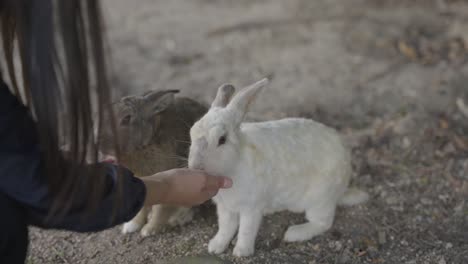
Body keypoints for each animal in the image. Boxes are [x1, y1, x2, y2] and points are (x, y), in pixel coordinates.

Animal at [98, 89, 207, 237]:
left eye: (126, 118)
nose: (97, 143)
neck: (148, 143)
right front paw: (131, 226)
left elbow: (160, 209)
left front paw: (149, 230)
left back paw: (178, 218)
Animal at [188, 78, 368, 256]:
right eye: (192, 131)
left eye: (222, 139)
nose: (196, 166)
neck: (234, 164)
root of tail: (342, 187)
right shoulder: (225, 208)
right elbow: (226, 227)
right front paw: (215, 247)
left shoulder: (251, 208)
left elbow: (246, 230)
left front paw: (241, 252)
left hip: (319, 200)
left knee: (323, 222)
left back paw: (294, 233)